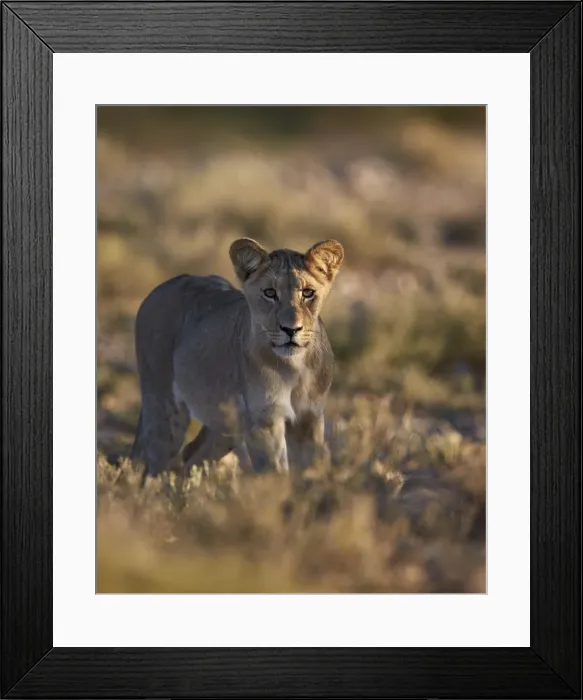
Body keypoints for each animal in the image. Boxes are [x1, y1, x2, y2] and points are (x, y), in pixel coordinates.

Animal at [131, 238, 344, 480]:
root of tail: (159, 289)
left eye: (308, 293)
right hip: (164, 409)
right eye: (270, 293)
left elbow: (310, 468)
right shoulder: (263, 422)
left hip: (225, 427)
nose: (291, 329)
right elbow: (274, 472)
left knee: (191, 455)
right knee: (154, 470)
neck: (294, 367)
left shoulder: (309, 417)